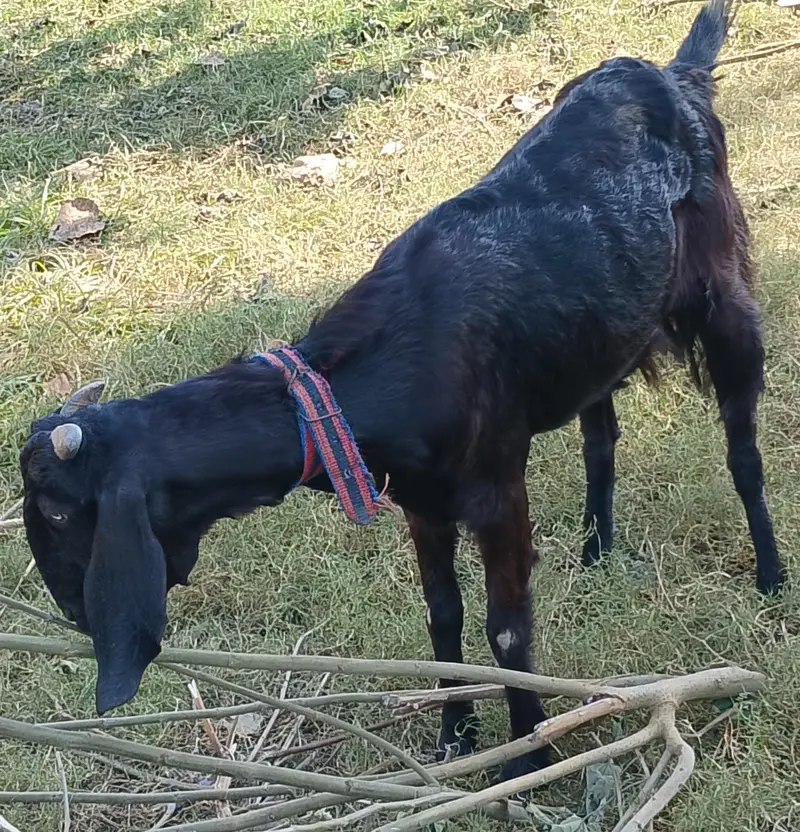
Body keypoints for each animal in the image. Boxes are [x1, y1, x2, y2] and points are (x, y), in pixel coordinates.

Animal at [19, 0, 784, 781]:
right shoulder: (422, 502)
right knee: (601, 433)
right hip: (604, 329)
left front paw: (527, 756)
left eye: (56, 510)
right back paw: (596, 548)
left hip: (723, 298)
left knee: (742, 446)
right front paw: (454, 735)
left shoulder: (497, 491)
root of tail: (674, 73)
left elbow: (506, 629)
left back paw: (771, 574)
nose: (73, 614)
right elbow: (443, 616)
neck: (365, 381)